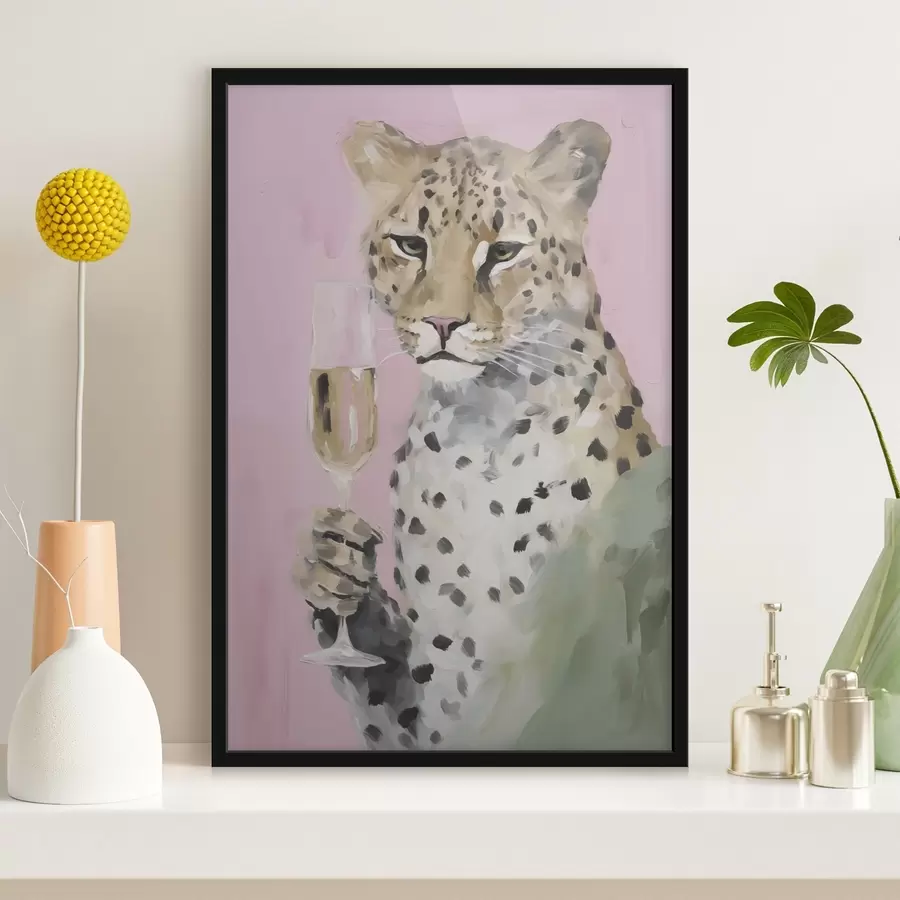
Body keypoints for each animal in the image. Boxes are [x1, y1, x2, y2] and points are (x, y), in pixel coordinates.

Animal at [294, 119, 673, 752]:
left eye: (502, 252)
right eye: (411, 245)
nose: (442, 324)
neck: (481, 431)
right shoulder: (436, 689)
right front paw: (332, 571)